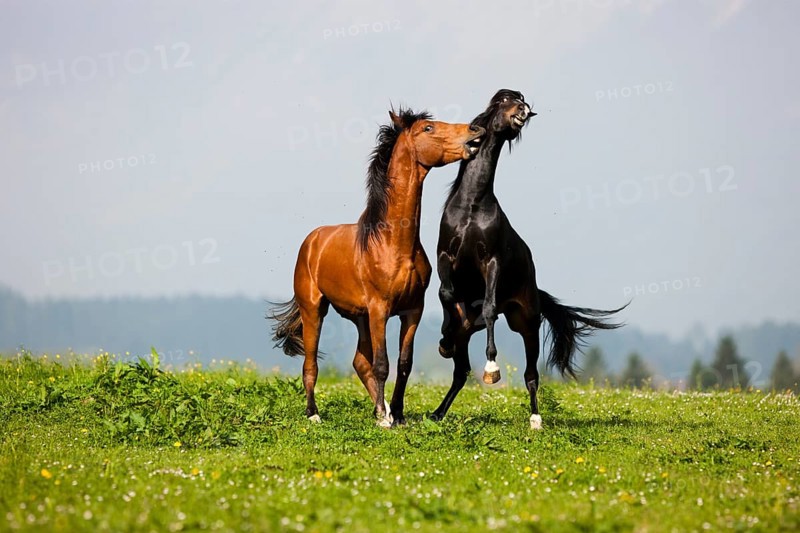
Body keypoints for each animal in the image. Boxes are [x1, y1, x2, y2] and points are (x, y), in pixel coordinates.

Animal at [269, 108, 485, 427]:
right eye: (428, 128)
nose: (475, 131)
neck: (392, 244)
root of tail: (312, 242)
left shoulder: (412, 311)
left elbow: (404, 363)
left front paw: (397, 414)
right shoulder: (380, 309)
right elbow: (382, 363)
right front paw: (384, 419)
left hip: (360, 318)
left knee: (359, 362)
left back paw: (378, 408)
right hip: (314, 310)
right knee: (311, 363)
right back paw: (314, 414)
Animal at [432, 89, 626, 429]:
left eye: (520, 99)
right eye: (502, 100)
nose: (523, 110)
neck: (471, 206)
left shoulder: (492, 262)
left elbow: (490, 308)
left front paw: (492, 369)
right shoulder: (445, 255)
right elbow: (446, 294)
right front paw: (443, 339)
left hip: (527, 325)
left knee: (531, 374)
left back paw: (535, 419)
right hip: (471, 331)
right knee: (460, 371)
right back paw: (438, 412)